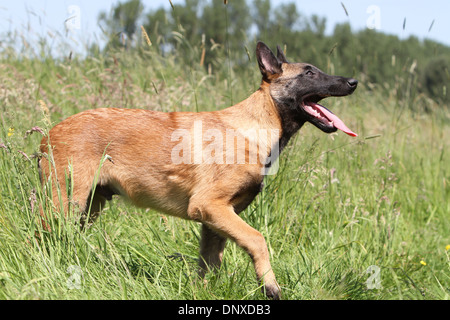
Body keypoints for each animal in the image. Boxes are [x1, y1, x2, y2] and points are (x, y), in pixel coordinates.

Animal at [40, 41, 360, 298]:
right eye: (309, 73)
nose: (353, 81)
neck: (257, 125)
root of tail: (49, 133)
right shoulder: (210, 206)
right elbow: (257, 240)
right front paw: (270, 286)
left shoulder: (214, 220)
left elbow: (209, 265)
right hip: (66, 202)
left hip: (89, 207)